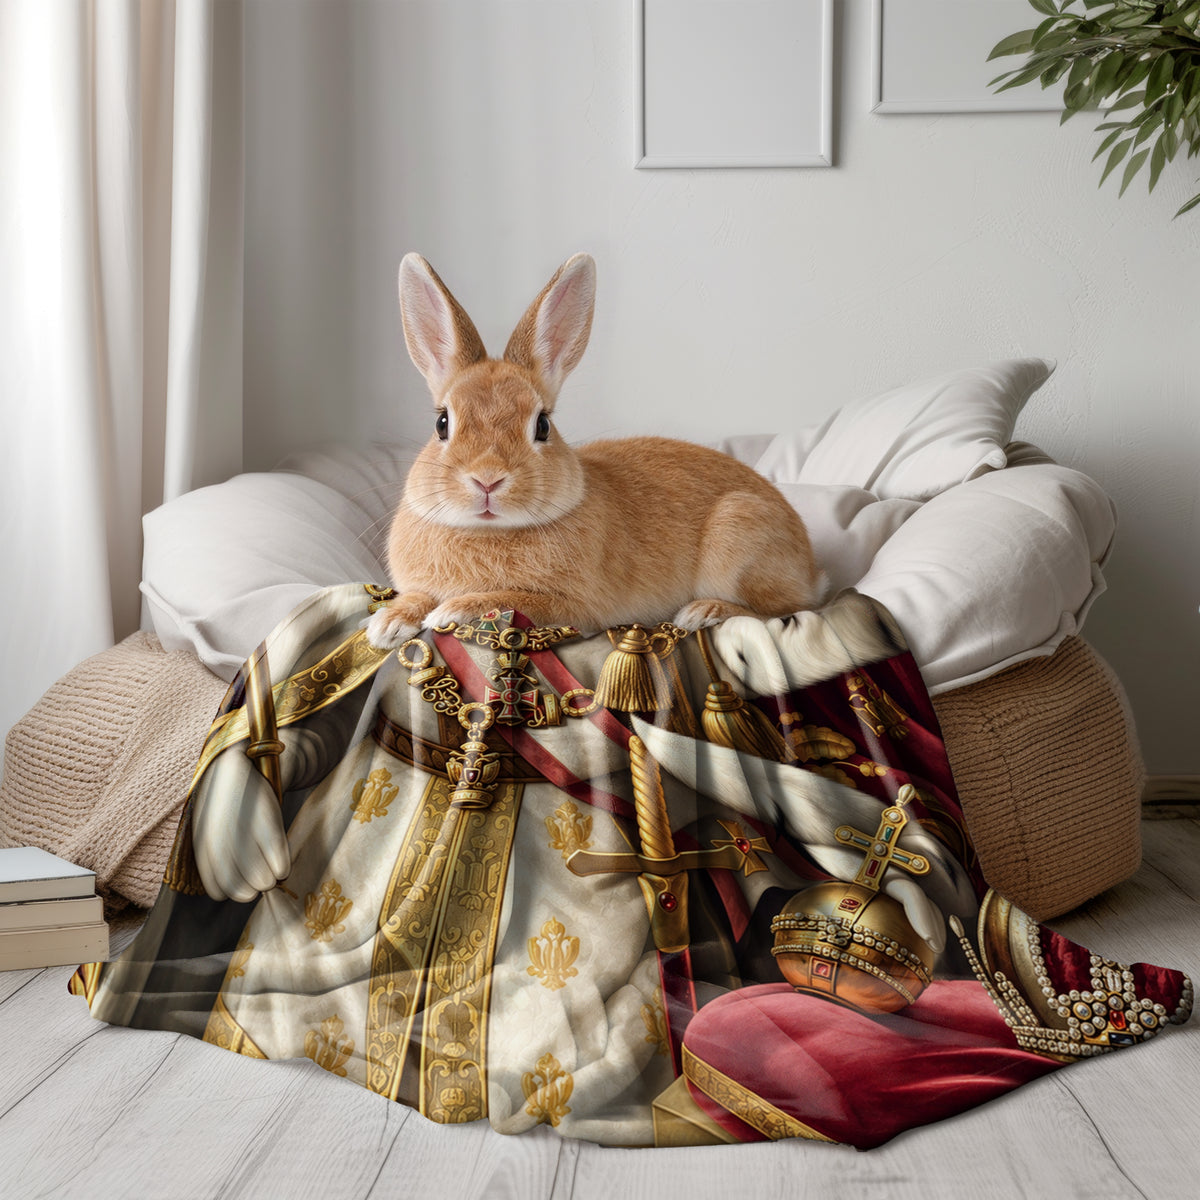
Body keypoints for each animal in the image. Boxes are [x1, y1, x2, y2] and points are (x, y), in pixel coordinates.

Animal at [365, 251, 819, 649]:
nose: (487, 479)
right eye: (442, 423)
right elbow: (415, 597)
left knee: (790, 611)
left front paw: (453, 611)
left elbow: (511, 600)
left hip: (739, 536)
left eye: (542, 425)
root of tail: (811, 567)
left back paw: (704, 611)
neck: (489, 530)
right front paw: (386, 625)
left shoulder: (573, 607)